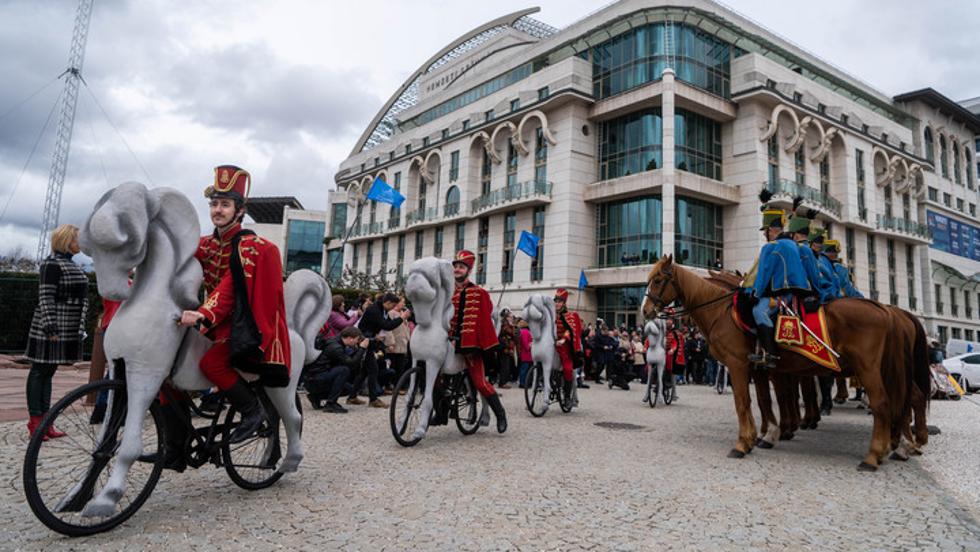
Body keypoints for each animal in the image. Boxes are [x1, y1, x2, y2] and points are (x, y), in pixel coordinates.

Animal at [648, 254, 908, 470]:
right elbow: (763, 400)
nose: (646, 310)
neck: (722, 312)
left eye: (658, 280)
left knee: (882, 403)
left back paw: (874, 455)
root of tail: (883, 310)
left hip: (868, 369)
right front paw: (763, 435)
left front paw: (744, 443)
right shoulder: (760, 368)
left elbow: (744, 401)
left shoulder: (738, 364)